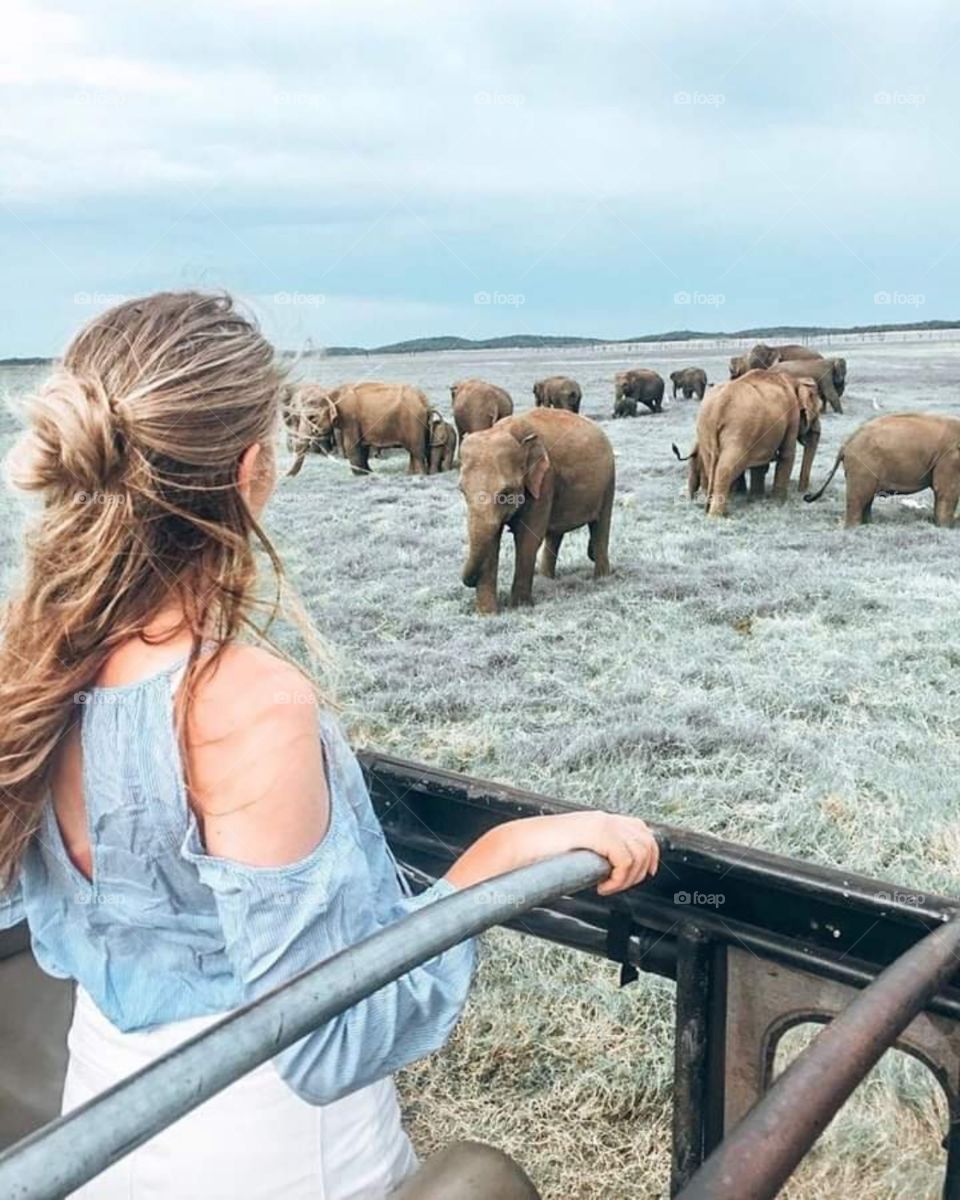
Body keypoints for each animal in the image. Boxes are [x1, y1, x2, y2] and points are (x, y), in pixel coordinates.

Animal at [288, 381, 431, 477]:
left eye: (312, 418)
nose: (286, 476)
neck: (331, 393)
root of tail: (423, 400)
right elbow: (363, 447)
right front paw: (368, 472)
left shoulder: (350, 418)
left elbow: (352, 445)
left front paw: (359, 474)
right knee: (414, 452)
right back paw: (411, 474)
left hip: (413, 422)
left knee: (417, 451)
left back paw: (420, 474)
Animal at [459, 408, 615, 614]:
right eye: (462, 491)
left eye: (505, 493)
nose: (469, 581)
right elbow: (492, 541)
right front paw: (487, 614)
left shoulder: (545, 480)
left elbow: (528, 538)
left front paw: (519, 607)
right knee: (556, 534)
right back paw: (547, 578)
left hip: (609, 481)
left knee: (601, 526)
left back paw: (601, 579)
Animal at [694, 369, 821, 517]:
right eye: (818, 410)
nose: (805, 495)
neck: (795, 380)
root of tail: (718, 407)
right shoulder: (792, 416)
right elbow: (787, 454)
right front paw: (779, 502)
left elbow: (760, 462)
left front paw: (756, 498)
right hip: (738, 431)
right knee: (726, 467)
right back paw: (717, 516)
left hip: (705, 430)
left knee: (710, 465)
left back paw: (711, 508)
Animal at [804, 413, 960, 527]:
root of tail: (847, 443)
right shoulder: (950, 458)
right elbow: (946, 490)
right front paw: (946, 527)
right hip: (862, 465)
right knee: (859, 497)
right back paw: (854, 528)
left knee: (866, 498)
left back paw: (868, 525)